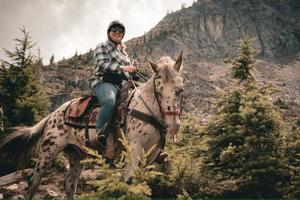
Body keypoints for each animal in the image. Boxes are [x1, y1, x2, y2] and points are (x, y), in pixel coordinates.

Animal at [0, 52, 184, 199]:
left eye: (180, 90)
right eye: (158, 91)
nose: (173, 126)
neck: (147, 109)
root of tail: (54, 114)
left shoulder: (151, 156)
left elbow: (143, 184)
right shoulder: (134, 149)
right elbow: (130, 182)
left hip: (76, 155)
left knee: (69, 183)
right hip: (48, 151)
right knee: (34, 181)